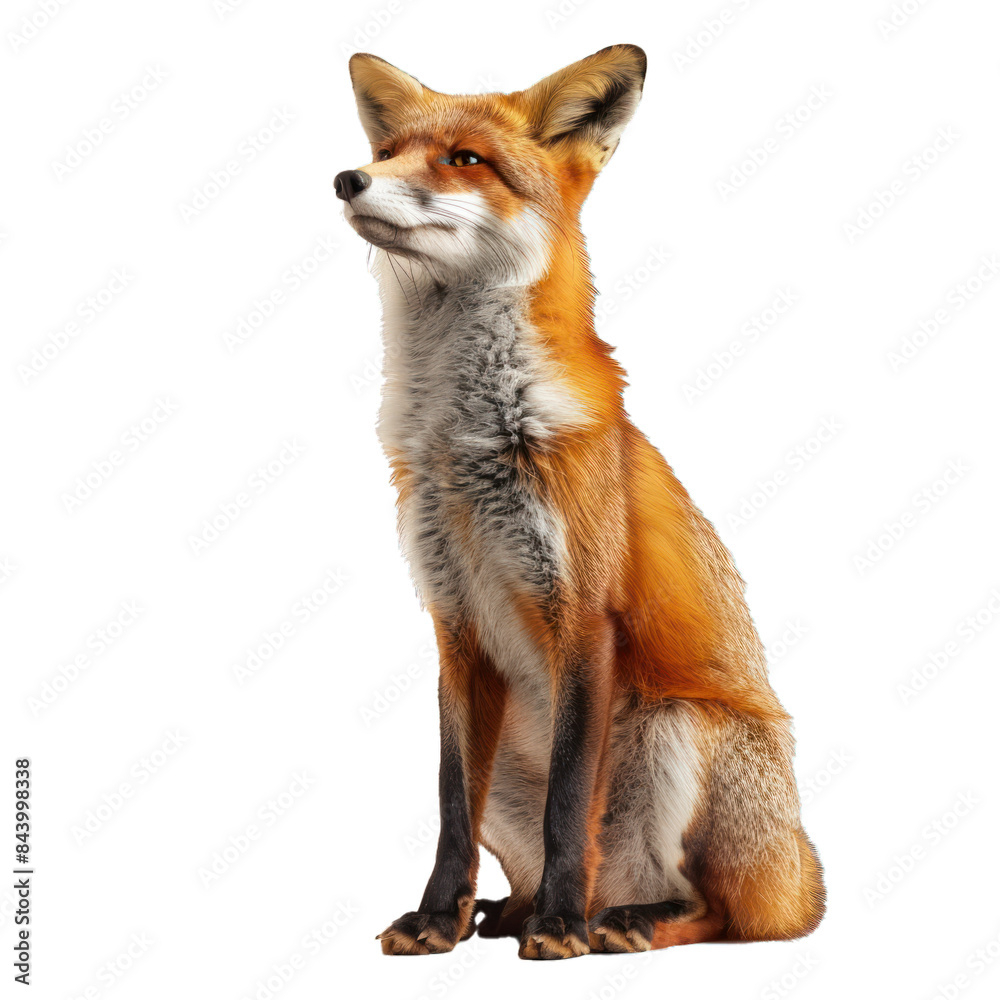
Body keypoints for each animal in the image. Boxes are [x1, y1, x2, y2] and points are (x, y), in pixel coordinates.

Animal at [335, 44, 826, 960]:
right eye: (386, 154)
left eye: (464, 160)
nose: (348, 178)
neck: (465, 449)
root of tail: (800, 867)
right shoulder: (454, 626)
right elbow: (450, 809)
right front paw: (437, 916)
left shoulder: (585, 614)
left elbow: (570, 804)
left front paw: (560, 928)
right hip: (509, 763)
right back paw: (510, 911)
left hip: (679, 728)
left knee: (718, 911)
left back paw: (611, 919)